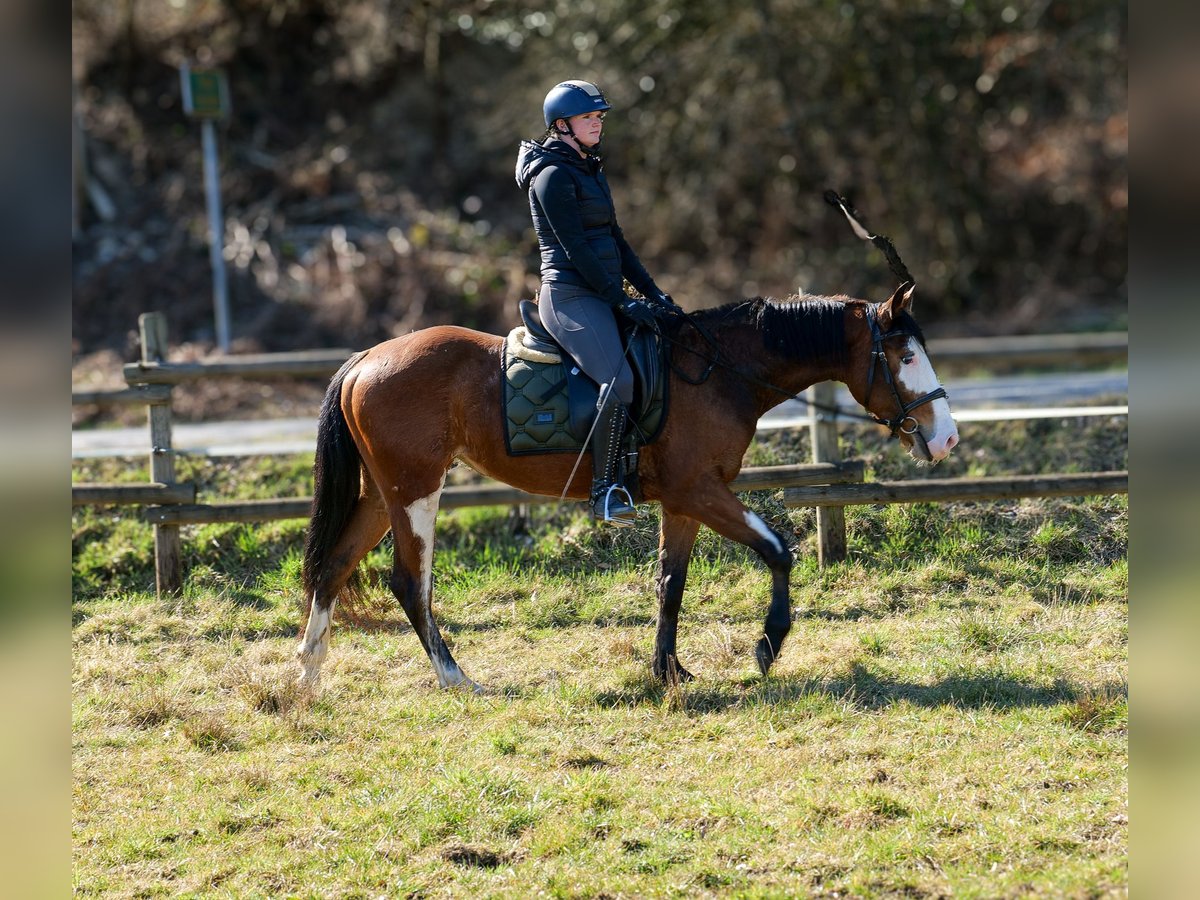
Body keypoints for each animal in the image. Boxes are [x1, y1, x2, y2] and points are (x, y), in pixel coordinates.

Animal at [297, 285, 955, 696]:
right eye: (904, 356)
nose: (945, 437)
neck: (719, 373)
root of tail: (366, 359)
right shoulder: (700, 490)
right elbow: (777, 550)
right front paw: (767, 644)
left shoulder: (685, 500)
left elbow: (671, 582)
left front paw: (668, 671)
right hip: (415, 491)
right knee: (411, 583)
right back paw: (455, 678)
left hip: (384, 495)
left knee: (333, 566)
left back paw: (306, 675)